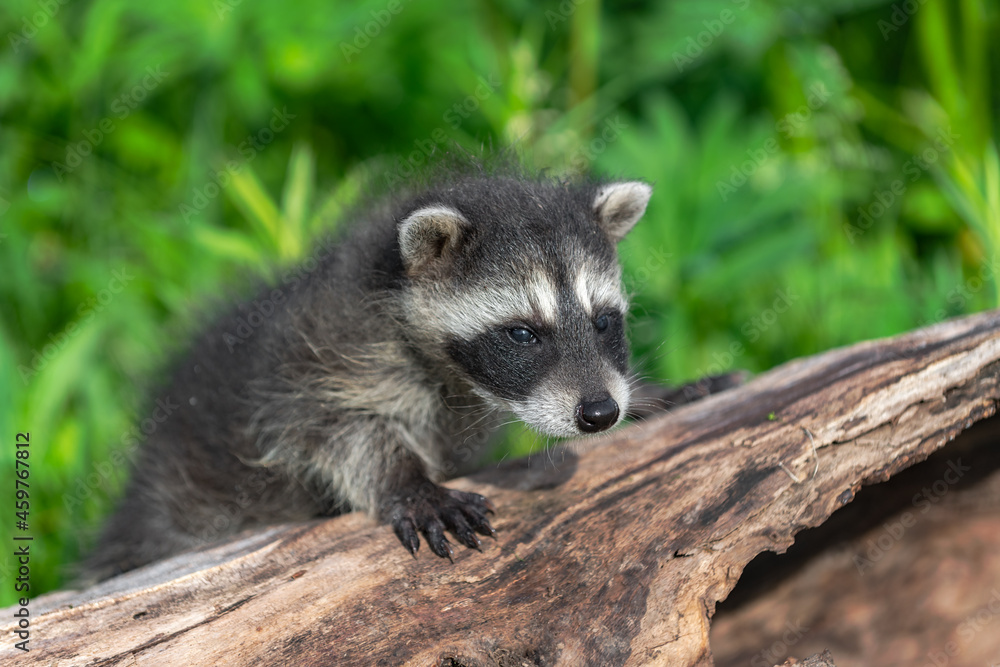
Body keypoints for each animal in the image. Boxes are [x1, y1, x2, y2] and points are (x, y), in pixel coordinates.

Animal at [84, 160, 656, 580]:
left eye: (603, 321)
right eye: (522, 333)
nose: (600, 413)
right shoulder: (323, 356)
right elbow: (336, 431)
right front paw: (407, 480)